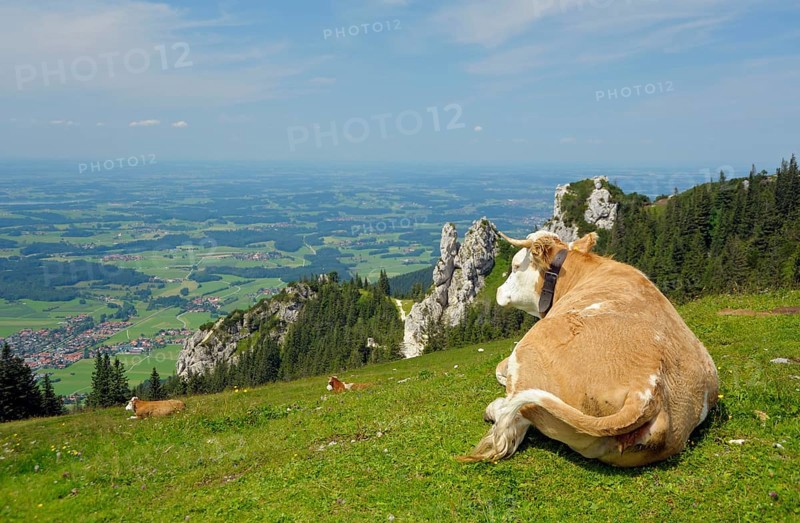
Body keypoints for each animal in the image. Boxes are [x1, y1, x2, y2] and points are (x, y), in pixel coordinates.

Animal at [460, 230, 719, 467]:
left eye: (515, 266)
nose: (498, 291)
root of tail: (646, 388)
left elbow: (499, 369)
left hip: (529, 350)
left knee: (515, 420)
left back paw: (495, 408)